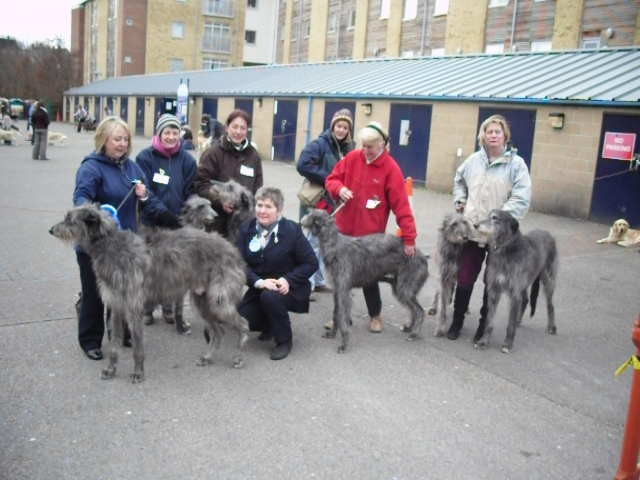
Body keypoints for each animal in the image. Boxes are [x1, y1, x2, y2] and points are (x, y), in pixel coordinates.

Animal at [49, 204, 250, 384]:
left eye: (69, 220)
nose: (51, 230)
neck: (110, 246)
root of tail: (232, 248)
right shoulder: (117, 306)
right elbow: (114, 345)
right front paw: (110, 370)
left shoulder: (134, 307)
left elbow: (137, 348)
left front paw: (138, 373)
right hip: (202, 301)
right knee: (218, 331)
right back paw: (207, 357)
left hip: (219, 300)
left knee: (243, 324)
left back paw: (239, 358)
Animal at [300, 209, 430, 352]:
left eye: (310, 214)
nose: (300, 221)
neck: (333, 244)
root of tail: (422, 256)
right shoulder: (337, 289)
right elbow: (336, 313)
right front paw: (332, 333)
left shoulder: (344, 290)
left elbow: (342, 315)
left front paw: (344, 343)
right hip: (399, 287)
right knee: (413, 310)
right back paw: (409, 328)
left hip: (405, 287)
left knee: (419, 311)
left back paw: (414, 334)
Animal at [472, 209, 556, 352]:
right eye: (488, 215)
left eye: (495, 218)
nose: (475, 225)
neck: (505, 249)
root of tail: (548, 233)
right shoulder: (494, 290)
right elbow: (489, 321)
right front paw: (484, 341)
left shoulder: (514, 292)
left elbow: (509, 325)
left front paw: (507, 344)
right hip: (524, 282)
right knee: (526, 299)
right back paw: (518, 320)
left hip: (547, 279)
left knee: (550, 305)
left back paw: (551, 327)